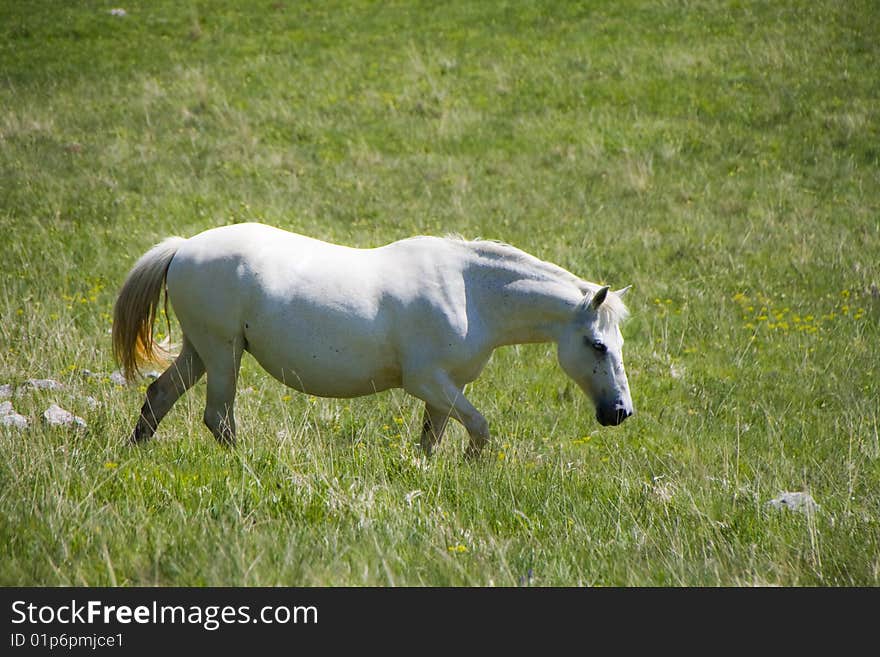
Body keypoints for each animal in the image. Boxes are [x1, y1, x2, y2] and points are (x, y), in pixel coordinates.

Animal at [111, 223, 632, 454]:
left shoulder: (444, 390)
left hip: (201, 351)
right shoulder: (426, 382)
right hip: (222, 354)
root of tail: (182, 248)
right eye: (598, 345)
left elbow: (431, 441)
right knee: (218, 417)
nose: (620, 412)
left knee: (160, 395)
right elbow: (480, 428)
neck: (469, 293)